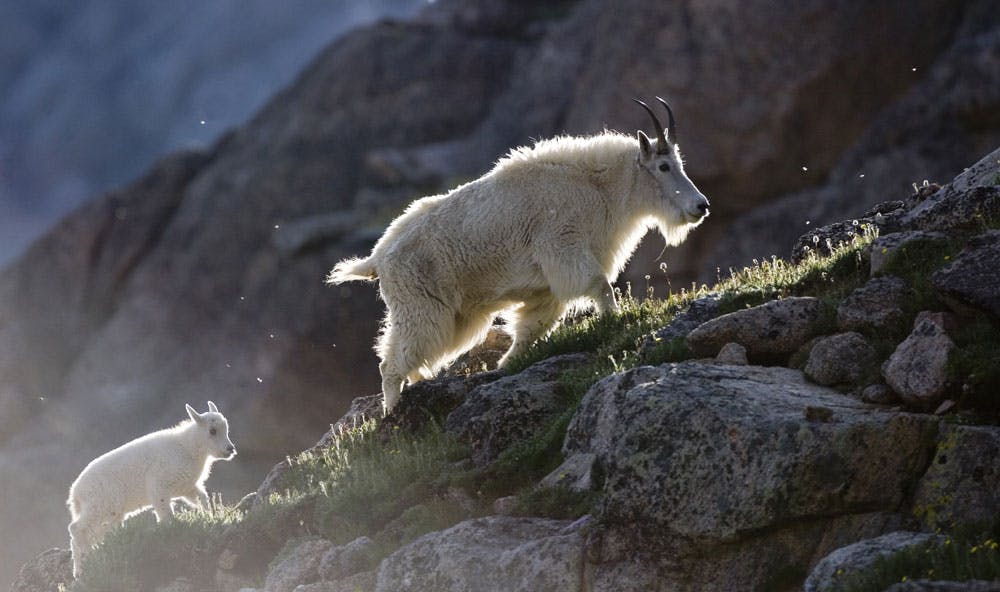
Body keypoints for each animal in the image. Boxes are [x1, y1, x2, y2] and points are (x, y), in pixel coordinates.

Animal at [67, 400, 237, 576]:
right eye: (212, 431)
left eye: (226, 428)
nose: (230, 449)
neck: (187, 447)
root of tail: (75, 494)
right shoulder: (158, 486)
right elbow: (165, 513)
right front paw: (172, 530)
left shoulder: (185, 487)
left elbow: (202, 497)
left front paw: (210, 516)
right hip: (101, 506)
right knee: (76, 528)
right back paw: (88, 555)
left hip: (111, 513)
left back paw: (80, 569)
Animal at [330, 97, 712, 412]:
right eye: (664, 167)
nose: (701, 206)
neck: (598, 186)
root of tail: (379, 258)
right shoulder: (562, 247)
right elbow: (600, 286)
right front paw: (615, 322)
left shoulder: (546, 287)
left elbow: (530, 329)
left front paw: (505, 366)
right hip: (421, 307)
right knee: (393, 361)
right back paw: (392, 413)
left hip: (451, 315)